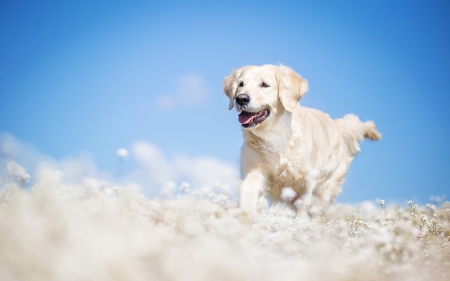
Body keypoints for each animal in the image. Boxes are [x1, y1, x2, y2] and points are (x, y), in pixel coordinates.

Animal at [221, 64, 380, 213]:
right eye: (241, 84)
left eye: (264, 84)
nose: (241, 98)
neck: (276, 134)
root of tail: (336, 125)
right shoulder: (253, 172)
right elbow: (247, 199)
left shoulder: (305, 182)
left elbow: (302, 209)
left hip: (326, 186)